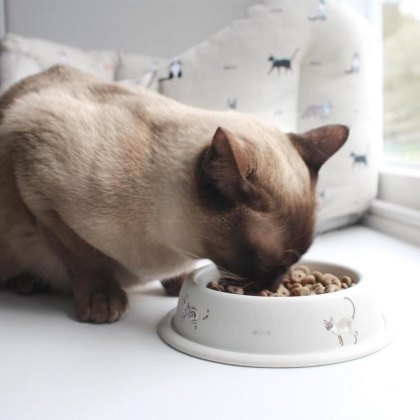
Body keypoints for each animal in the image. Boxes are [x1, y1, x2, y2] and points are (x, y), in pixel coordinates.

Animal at [0, 65, 348, 324]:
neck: (174, 246)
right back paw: (24, 282)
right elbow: (85, 259)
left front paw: (181, 282)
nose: (274, 286)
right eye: (268, 263)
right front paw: (104, 301)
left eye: (294, 262)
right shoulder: (42, 195)